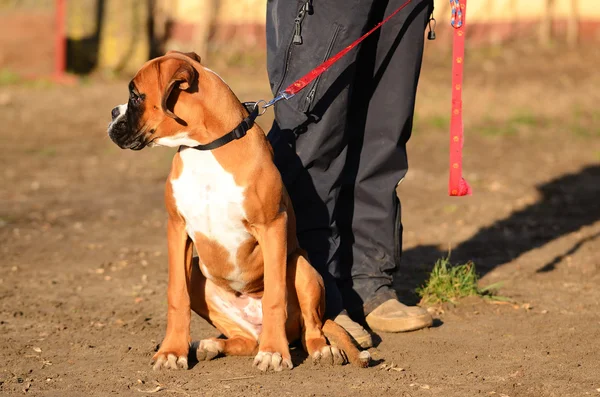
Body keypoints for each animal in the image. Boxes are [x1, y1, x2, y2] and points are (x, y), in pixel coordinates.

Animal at [108, 51, 370, 370]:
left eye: (135, 96)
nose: (112, 112)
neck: (206, 147)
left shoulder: (272, 226)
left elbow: (274, 296)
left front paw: (274, 352)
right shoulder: (177, 228)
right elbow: (176, 295)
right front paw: (172, 351)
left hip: (302, 268)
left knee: (313, 326)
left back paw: (319, 349)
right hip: (199, 274)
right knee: (244, 340)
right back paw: (209, 344)